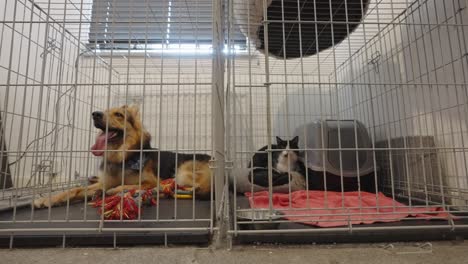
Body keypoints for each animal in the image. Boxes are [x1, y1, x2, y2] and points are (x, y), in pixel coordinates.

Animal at [34, 105, 212, 208]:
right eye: (104, 111)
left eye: (118, 114)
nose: (95, 114)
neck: (121, 157)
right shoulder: (103, 183)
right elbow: (75, 189)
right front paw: (47, 199)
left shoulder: (150, 180)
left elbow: (129, 185)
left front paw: (117, 191)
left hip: (182, 172)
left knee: (184, 187)